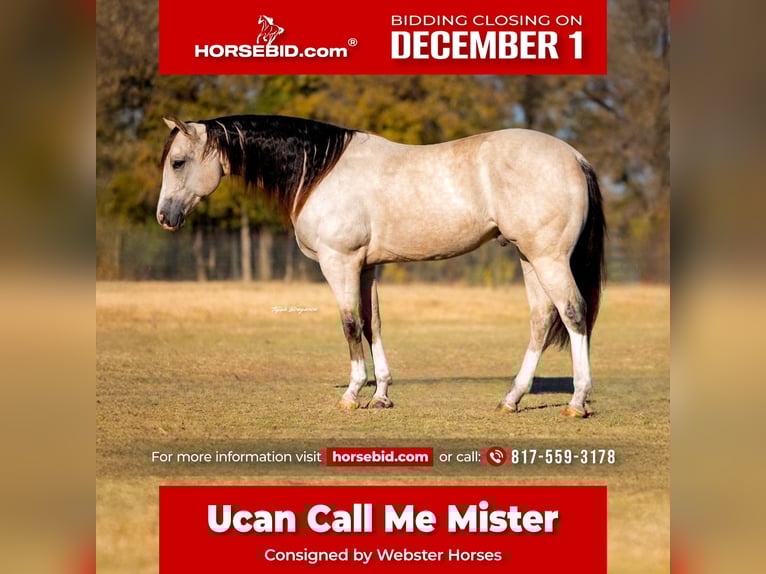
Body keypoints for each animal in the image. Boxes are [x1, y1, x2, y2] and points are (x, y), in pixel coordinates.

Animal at [157, 114, 606, 417]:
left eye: (177, 162)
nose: (164, 216)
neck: (322, 172)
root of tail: (575, 157)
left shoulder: (340, 263)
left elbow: (350, 324)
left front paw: (352, 394)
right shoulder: (367, 267)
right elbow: (373, 324)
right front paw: (381, 394)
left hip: (548, 258)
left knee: (573, 314)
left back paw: (577, 401)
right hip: (529, 257)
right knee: (542, 319)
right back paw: (512, 399)